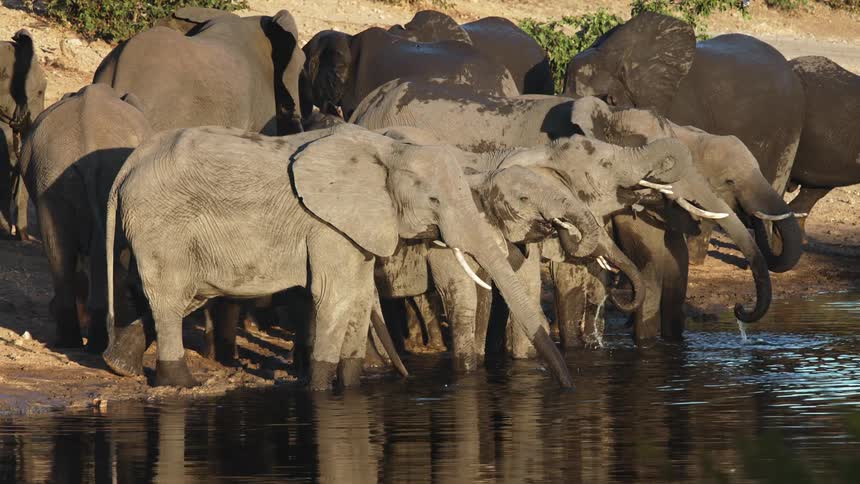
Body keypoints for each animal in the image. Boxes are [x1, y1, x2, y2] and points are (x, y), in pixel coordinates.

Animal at [101, 124, 574, 390]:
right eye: (434, 201)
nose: (569, 387)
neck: (386, 151)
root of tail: (126, 167)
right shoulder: (325, 223)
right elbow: (336, 295)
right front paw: (318, 388)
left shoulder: (357, 226)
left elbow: (359, 296)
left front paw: (349, 385)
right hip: (162, 224)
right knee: (169, 296)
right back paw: (178, 383)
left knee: (175, 294)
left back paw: (118, 367)